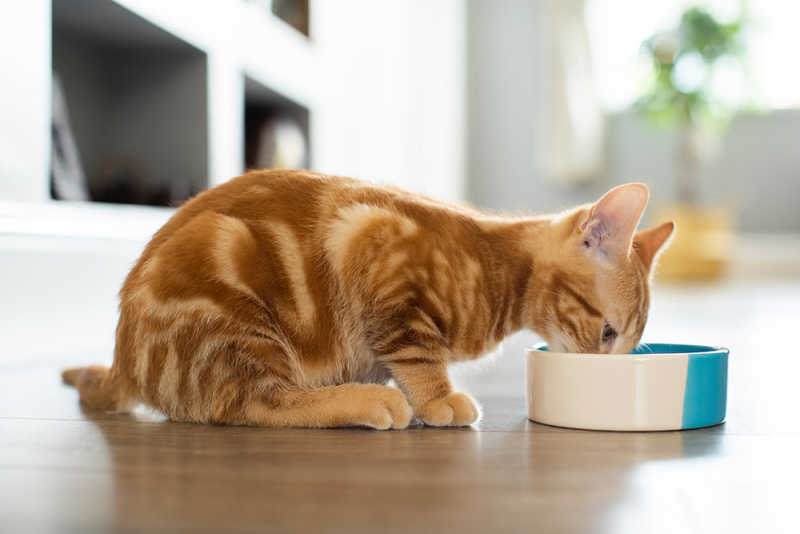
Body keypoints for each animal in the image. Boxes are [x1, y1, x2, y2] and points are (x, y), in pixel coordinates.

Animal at [64, 172, 676, 432]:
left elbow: (394, 359)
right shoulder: (377, 252)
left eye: (627, 344)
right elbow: (420, 357)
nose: (605, 370)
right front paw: (437, 400)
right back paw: (366, 402)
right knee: (256, 403)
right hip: (234, 307)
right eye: (607, 333)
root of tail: (122, 355)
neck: (496, 265)